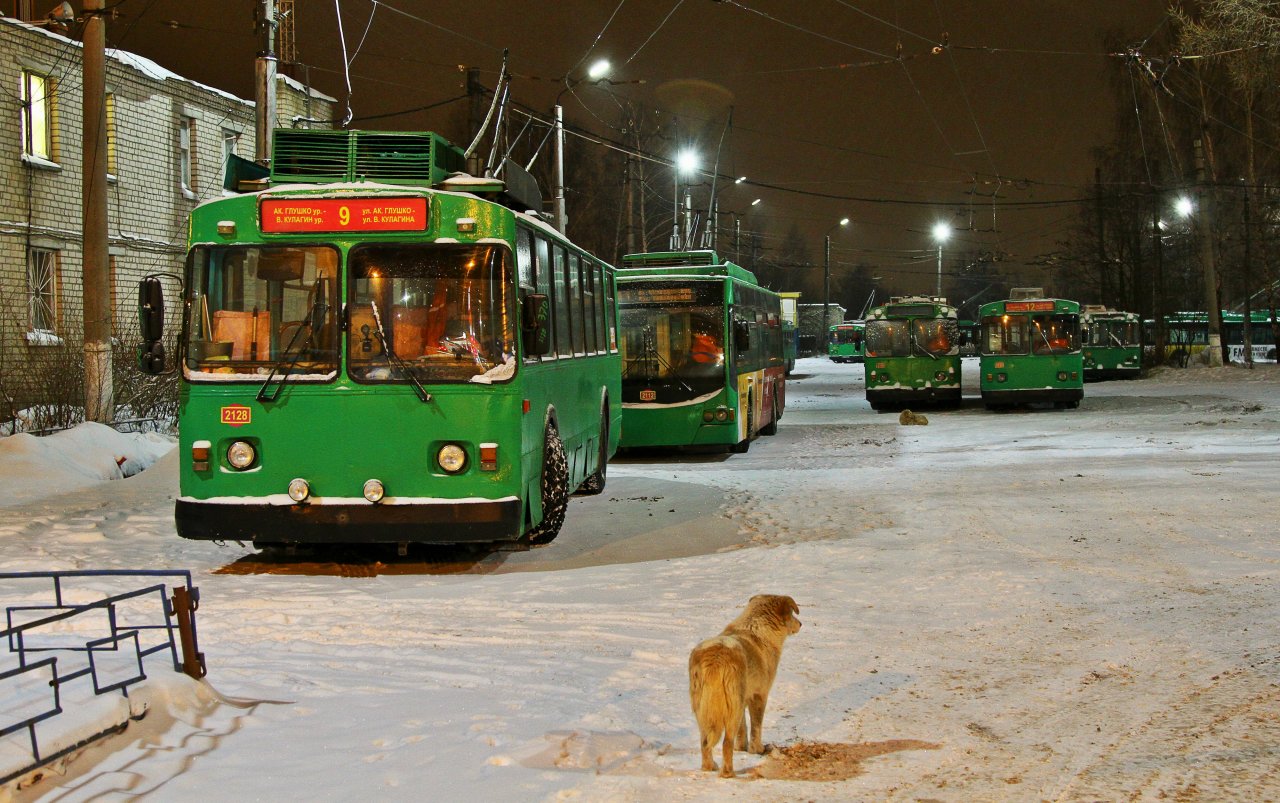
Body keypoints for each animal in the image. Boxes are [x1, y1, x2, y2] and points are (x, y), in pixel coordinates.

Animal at [691, 594, 798, 773]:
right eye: (792, 613)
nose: (801, 624)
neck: (758, 629)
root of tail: (716, 659)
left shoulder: (744, 700)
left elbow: (743, 729)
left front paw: (742, 748)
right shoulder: (759, 696)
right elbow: (756, 727)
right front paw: (757, 750)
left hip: (703, 709)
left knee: (705, 742)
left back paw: (710, 767)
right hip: (731, 708)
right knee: (726, 743)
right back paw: (728, 773)